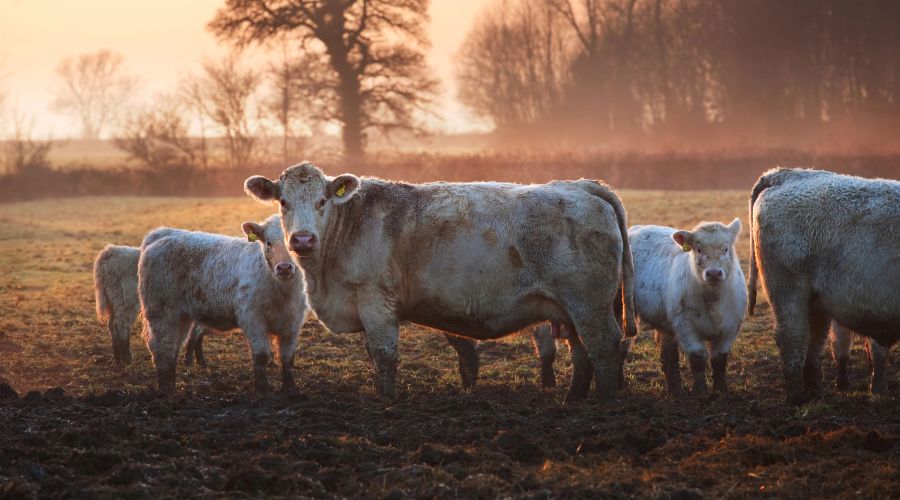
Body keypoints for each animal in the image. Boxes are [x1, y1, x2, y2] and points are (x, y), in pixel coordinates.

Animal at [139, 215, 308, 394]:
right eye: (268, 242)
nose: (284, 267)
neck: (282, 292)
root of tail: (162, 233)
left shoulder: (293, 323)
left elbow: (287, 358)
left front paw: (290, 388)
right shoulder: (253, 319)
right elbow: (261, 355)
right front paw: (262, 389)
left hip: (182, 316)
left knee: (174, 347)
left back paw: (171, 385)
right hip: (161, 312)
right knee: (162, 348)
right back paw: (165, 389)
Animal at [246, 162, 636, 404]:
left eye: (322, 200)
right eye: (283, 202)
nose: (302, 239)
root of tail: (581, 186)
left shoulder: (376, 302)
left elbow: (384, 355)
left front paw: (387, 399)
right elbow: (374, 354)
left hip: (590, 305)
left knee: (603, 345)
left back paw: (602, 402)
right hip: (571, 309)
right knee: (581, 350)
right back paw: (574, 398)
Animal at [620, 221, 744, 396]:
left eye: (726, 249)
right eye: (698, 249)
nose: (713, 273)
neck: (714, 301)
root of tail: (638, 227)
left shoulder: (730, 328)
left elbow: (719, 360)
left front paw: (721, 391)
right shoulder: (686, 326)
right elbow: (698, 358)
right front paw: (700, 391)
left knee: (668, 355)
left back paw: (676, 390)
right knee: (623, 346)